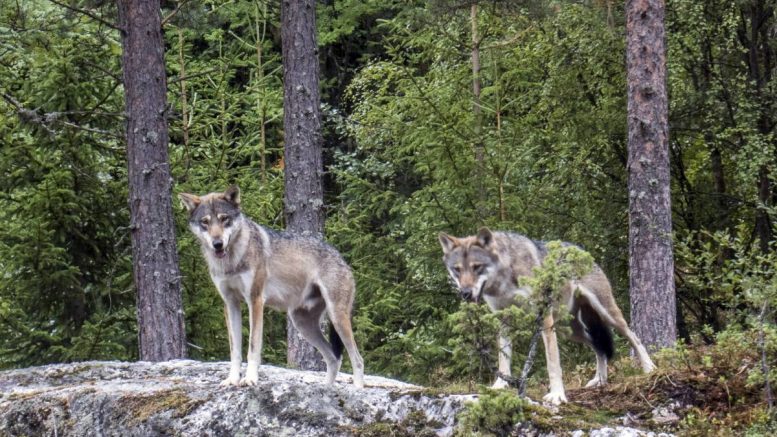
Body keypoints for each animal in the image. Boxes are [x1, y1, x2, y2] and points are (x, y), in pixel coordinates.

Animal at [179, 186, 364, 388]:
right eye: (205, 222)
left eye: (224, 219)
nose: (217, 244)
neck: (232, 261)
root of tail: (342, 259)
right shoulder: (230, 304)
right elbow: (234, 351)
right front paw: (232, 379)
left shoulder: (255, 300)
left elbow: (252, 347)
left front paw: (250, 379)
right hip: (302, 324)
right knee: (333, 359)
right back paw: (327, 389)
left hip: (336, 318)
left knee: (357, 359)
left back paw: (357, 390)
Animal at [439, 228, 655, 404]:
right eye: (457, 269)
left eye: (477, 267)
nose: (465, 293)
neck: (504, 278)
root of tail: (580, 250)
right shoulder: (504, 319)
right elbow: (503, 358)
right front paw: (500, 385)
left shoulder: (543, 317)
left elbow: (553, 362)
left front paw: (558, 395)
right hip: (569, 330)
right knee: (599, 349)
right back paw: (600, 380)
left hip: (606, 314)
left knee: (633, 337)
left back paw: (649, 368)